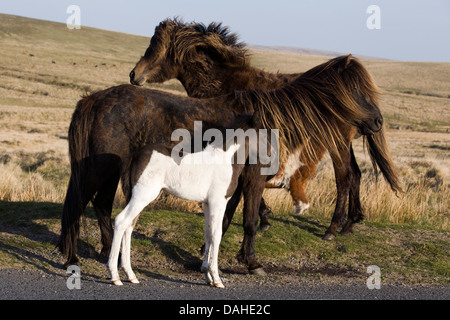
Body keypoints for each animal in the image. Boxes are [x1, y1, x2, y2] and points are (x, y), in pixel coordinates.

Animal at [129, 18, 400, 239]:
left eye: (157, 48)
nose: (133, 75)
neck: (228, 84)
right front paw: (265, 218)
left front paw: (264, 219)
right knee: (356, 175)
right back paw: (350, 224)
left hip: (337, 144)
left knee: (344, 179)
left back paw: (332, 229)